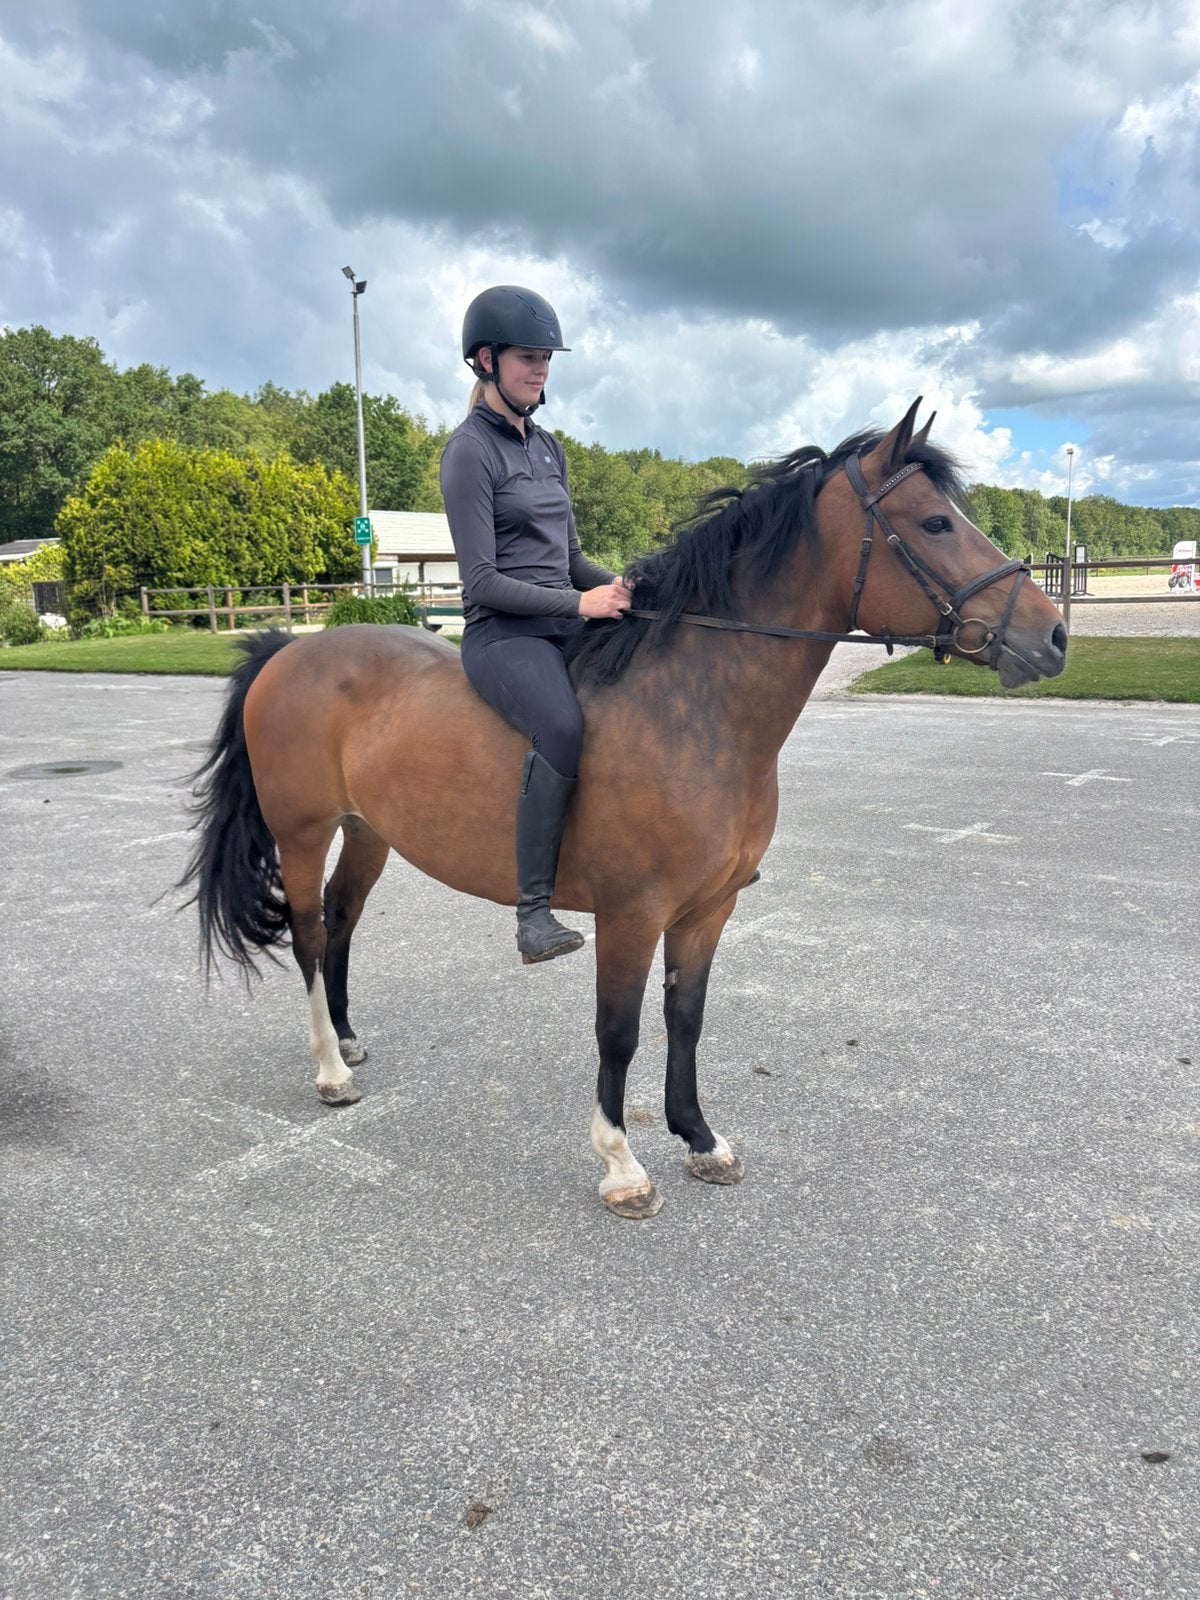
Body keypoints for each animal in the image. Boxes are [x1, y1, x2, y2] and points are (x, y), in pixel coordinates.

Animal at [180, 400, 1067, 1220]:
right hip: (302, 832)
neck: (697, 706)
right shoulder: (632, 913)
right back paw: (330, 1069)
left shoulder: (706, 910)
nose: (1054, 636)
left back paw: (349, 1040)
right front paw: (621, 1164)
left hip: (369, 832)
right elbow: (621, 1030)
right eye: (935, 521)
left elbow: (686, 1018)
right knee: (307, 929)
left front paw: (700, 1138)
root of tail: (287, 651)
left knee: (341, 919)